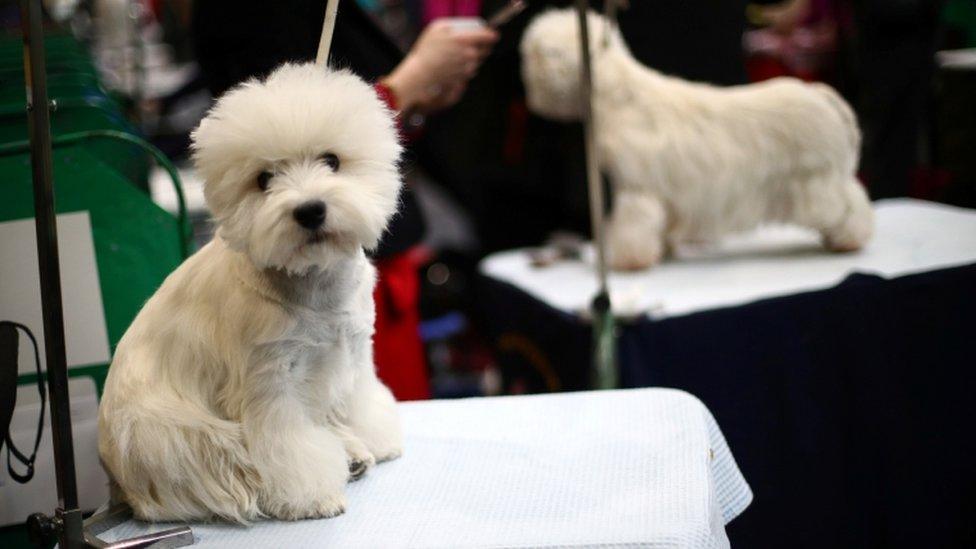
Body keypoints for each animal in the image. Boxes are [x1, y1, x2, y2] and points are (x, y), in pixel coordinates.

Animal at [99, 64, 404, 524]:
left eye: (332, 160)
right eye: (264, 180)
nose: (310, 210)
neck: (313, 284)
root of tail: (118, 484)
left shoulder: (353, 352)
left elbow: (359, 401)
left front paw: (375, 436)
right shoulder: (269, 380)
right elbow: (285, 447)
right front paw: (311, 497)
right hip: (168, 434)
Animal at [524, 9, 872, 270]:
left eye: (534, 56)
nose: (529, 92)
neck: (619, 95)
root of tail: (822, 94)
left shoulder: (636, 189)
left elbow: (631, 228)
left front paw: (625, 261)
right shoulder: (663, 196)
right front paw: (662, 251)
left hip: (817, 181)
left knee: (850, 207)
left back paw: (847, 241)